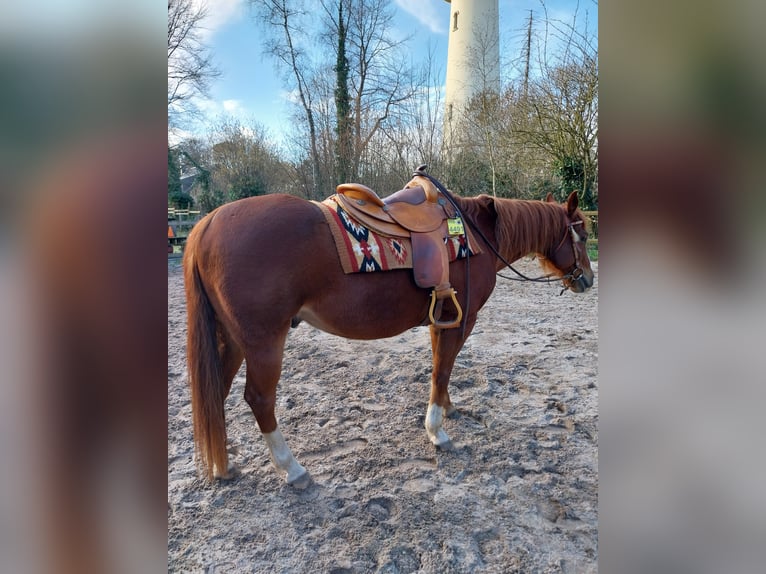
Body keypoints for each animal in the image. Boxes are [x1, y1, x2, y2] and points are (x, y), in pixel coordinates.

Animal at [183, 180, 594, 486]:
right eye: (584, 235)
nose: (587, 280)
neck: (478, 235)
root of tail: (207, 224)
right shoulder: (462, 319)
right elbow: (442, 369)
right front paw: (437, 431)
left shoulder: (441, 318)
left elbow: (441, 370)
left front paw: (447, 408)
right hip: (264, 341)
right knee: (259, 399)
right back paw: (293, 468)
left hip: (232, 340)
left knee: (217, 390)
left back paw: (222, 465)